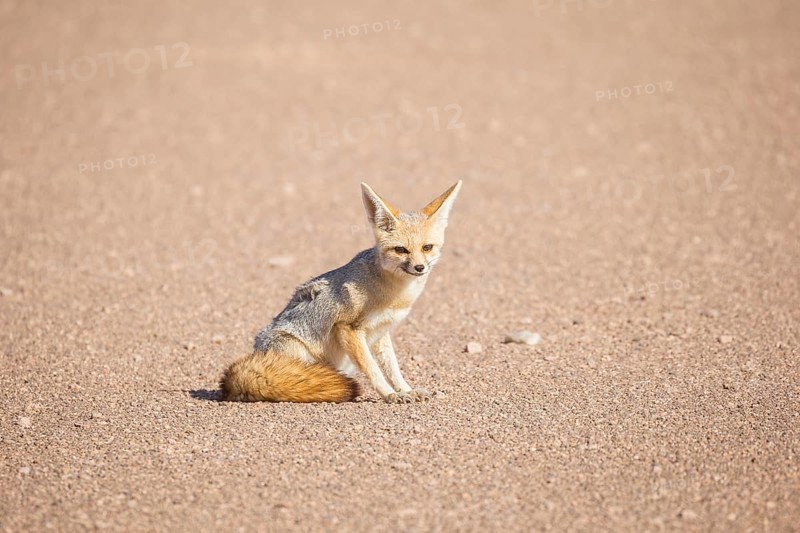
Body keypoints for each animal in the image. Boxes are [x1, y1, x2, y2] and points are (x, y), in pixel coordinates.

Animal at [219, 180, 463, 403]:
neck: (394, 295)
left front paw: (405, 389)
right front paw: (390, 394)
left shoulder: (381, 331)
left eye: (427, 247)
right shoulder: (348, 328)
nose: (420, 268)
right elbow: (372, 369)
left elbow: (392, 367)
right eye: (401, 250)